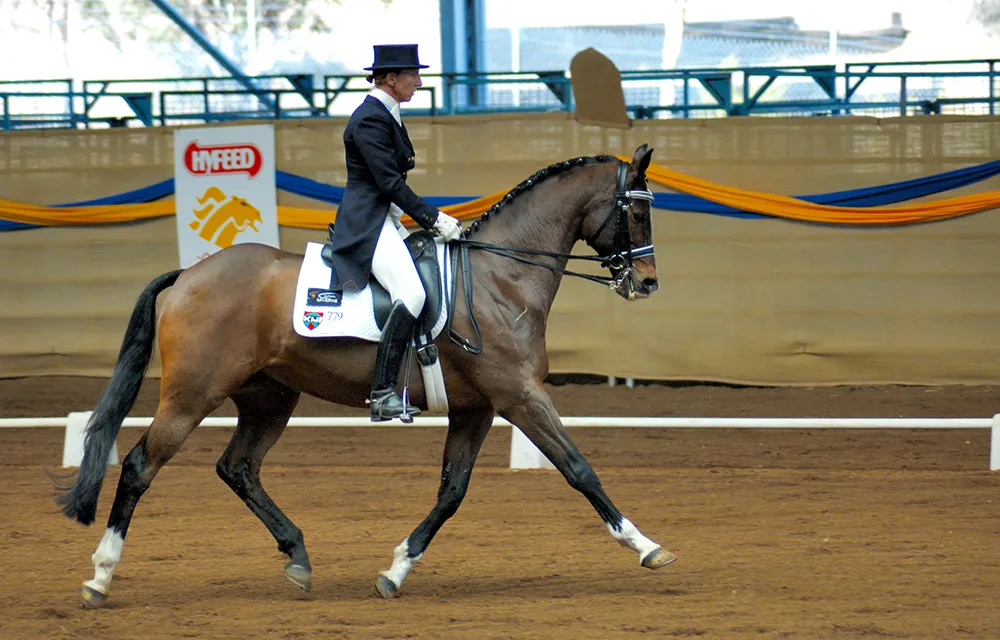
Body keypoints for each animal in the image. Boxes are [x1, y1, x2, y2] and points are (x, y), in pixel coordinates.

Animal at [56, 144, 675, 609]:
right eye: (636, 211)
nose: (647, 282)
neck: (501, 276)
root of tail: (190, 273)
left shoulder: (477, 406)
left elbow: (452, 491)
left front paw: (396, 569)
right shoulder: (519, 396)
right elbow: (579, 469)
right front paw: (646, 545)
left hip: (269, 397)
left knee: (238, 468)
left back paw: (298, 557)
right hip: (192, 394)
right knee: (140, 465)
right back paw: (100, 576)